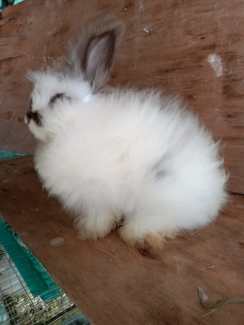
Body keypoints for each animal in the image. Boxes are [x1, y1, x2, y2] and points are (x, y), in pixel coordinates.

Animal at [24, 16, 227, 247]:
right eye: (33, 96)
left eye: (59, 98)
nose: (29, 115)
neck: (73, 125)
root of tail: (214, 197)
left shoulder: (96, 193)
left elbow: (100, 215)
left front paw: (91, 231)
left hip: (158, 196)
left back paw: (133, 233)